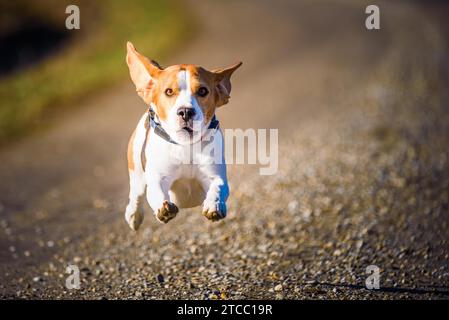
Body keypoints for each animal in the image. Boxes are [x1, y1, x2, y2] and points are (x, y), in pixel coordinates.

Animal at [122, 41, 242, 230]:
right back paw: (134, 215)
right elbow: (156, 191)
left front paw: (214, 205)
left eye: (202, 91)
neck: (186, 145)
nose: (186, 111)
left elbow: (217, 188)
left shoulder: (215, 176)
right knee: (136, 195)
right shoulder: (158, 177)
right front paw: (163, 208)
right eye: (169, 91)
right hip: (136, 171)